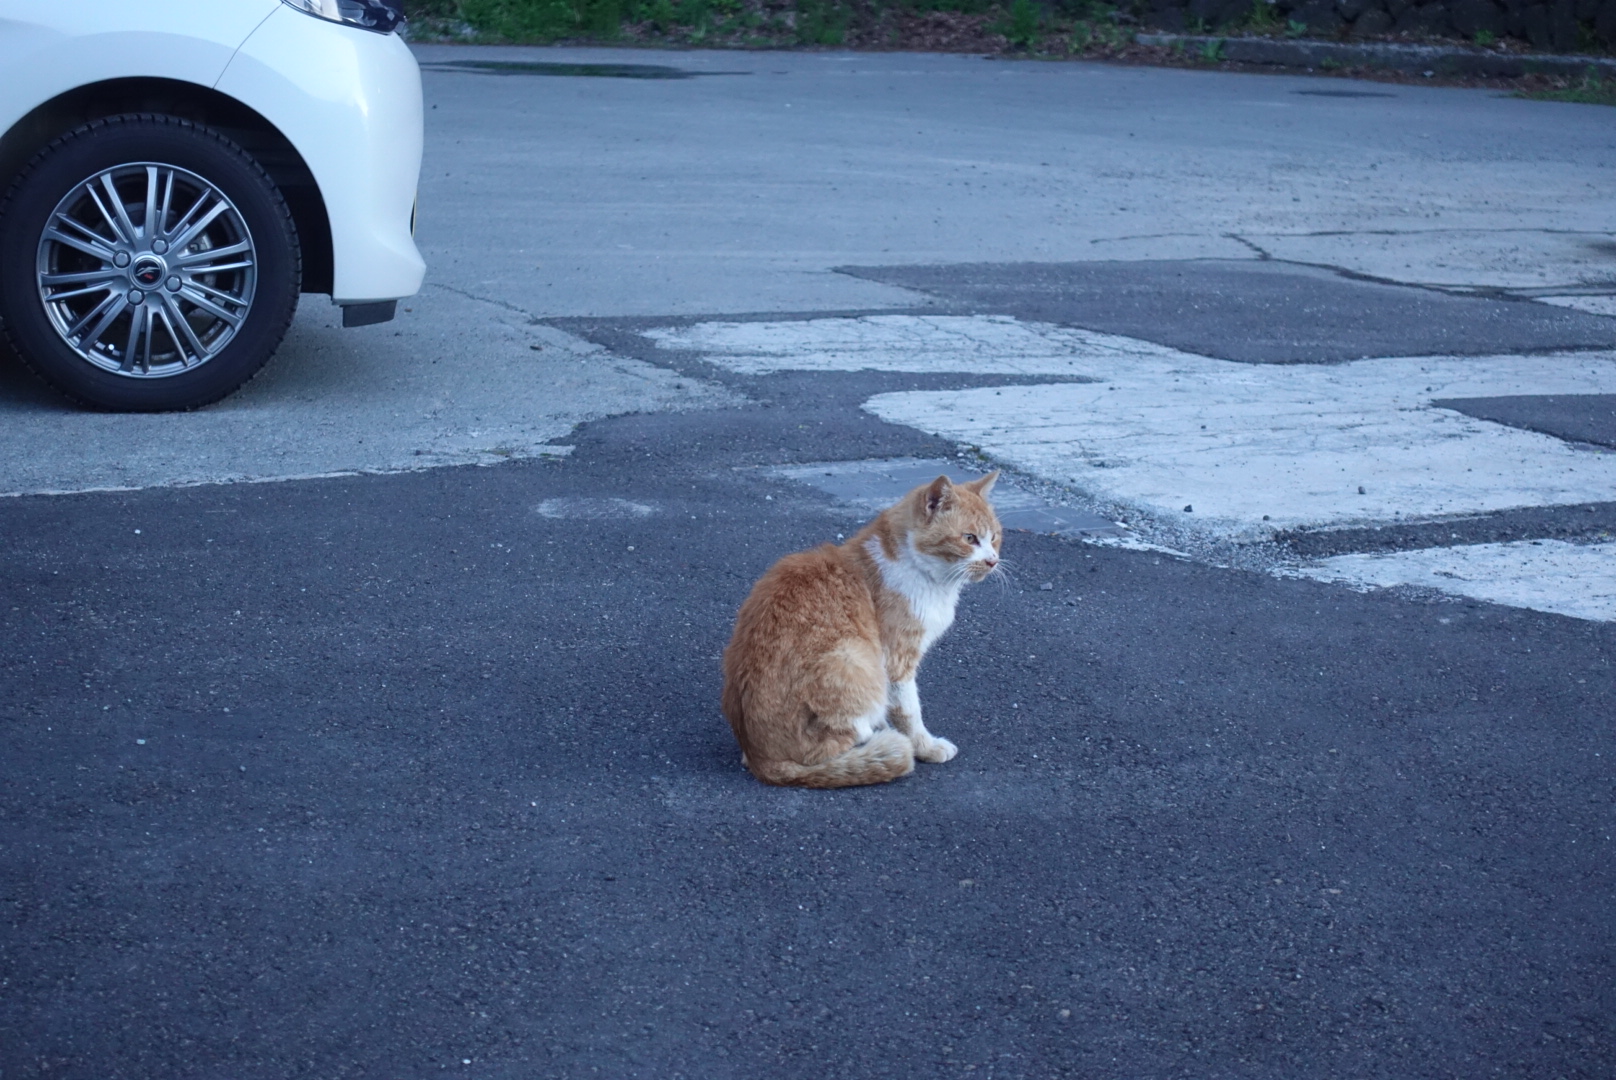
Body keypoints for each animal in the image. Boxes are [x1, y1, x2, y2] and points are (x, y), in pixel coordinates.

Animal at [720, 472, 995, 785]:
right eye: (970, 538)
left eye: (994, 538)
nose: (992, 561)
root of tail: (761, 760)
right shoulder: (896, 661)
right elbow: (909, 712)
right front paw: (926, 746)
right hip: (851, 657)